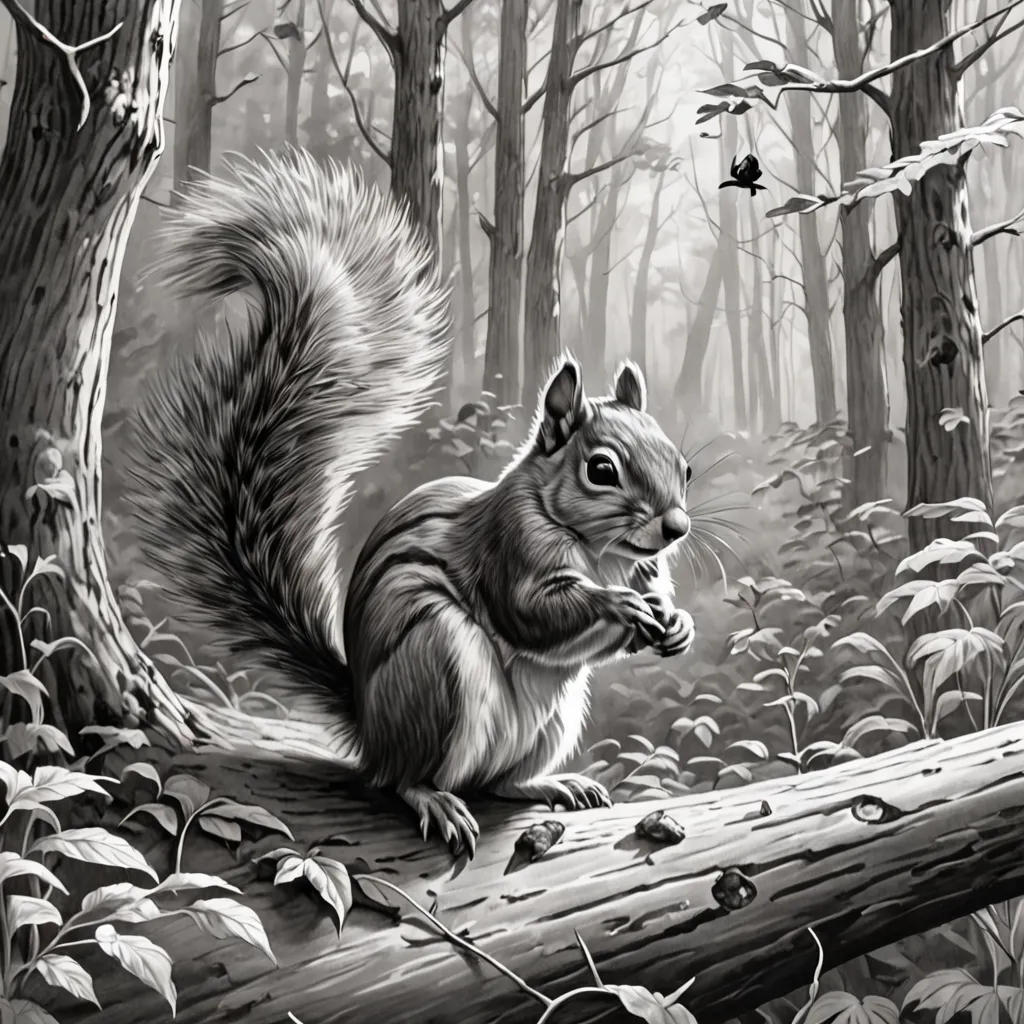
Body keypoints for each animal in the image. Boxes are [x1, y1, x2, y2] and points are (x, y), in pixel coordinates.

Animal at [132, 150, 696, 857]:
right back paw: (434, 798)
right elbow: (530, 613)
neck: (605, 552)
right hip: (435, 660)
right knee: (407, 779)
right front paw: (614, 605)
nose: (677, 528)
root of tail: (370, 731)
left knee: (496, 781)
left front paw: (676, 621)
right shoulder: (510, 546)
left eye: (685, 467)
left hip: (551, 718)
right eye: (601, 471)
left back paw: (549, 784)